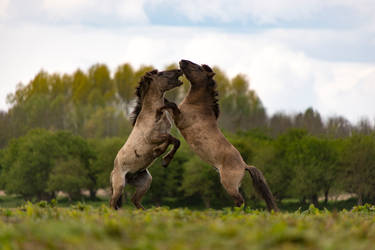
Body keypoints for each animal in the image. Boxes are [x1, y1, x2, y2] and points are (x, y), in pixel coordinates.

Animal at [109, 69, 183, 210]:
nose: (179, 70)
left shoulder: (163, 133)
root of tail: (113, 171)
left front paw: (161, 155)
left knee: (134, 200)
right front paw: (164, 158)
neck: (153, 113)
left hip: (145, 182)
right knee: (113, 203)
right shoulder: (152, 137)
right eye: (161, 73)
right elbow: (172, 139)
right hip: (119, 185)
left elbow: (175, 141)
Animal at [164, 60, 280, 211]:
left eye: (198, 68)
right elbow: (169, 105)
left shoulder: (180, 119)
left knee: (240, 201)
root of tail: (244, 165)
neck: (197, 106)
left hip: (228, 184)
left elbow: (172, 105)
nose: (182, 61)